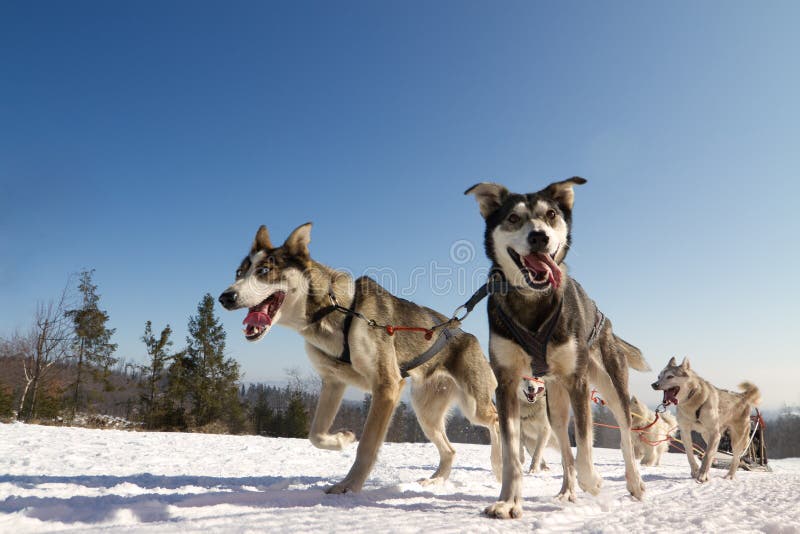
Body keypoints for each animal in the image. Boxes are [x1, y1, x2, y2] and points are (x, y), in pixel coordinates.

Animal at [219, 224, 504, 496]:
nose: (225, 297)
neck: (335, 309)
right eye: (238, 272)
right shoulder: (333, 383)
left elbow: (367, 446)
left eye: (264, 270)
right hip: (426, 413)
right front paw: (342, 439)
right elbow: (315, 434)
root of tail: (463, 332)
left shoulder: (387, 387)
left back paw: (500, 465)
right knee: (451, 450)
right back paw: (435, 480)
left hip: (472, 405)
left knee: (497, 419)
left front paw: (349, 486)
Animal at [466, 179, 648, 520]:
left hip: (610, 387)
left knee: (624, 439)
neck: (532, 300)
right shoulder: (507, 384)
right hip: (556, 409)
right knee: (565, 447)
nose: (539, 236)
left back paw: (634, 484)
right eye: (513, 218)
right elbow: (512, 455)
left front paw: (596, 483)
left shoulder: (578, 382)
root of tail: (607, 323)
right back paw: (566, 491)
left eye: (551, 214)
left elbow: (587, 451)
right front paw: (508, 502)